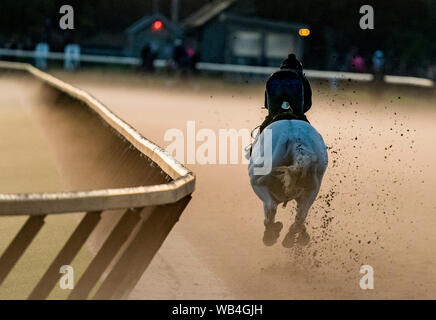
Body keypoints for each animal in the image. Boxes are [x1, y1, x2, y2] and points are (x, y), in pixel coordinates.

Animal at [249, 120, 328, 248]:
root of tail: (295, 139)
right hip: (313, 188)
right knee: (300, 216)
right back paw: (291, 238)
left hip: (256, 180)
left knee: (271, 207)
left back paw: (272, 234)